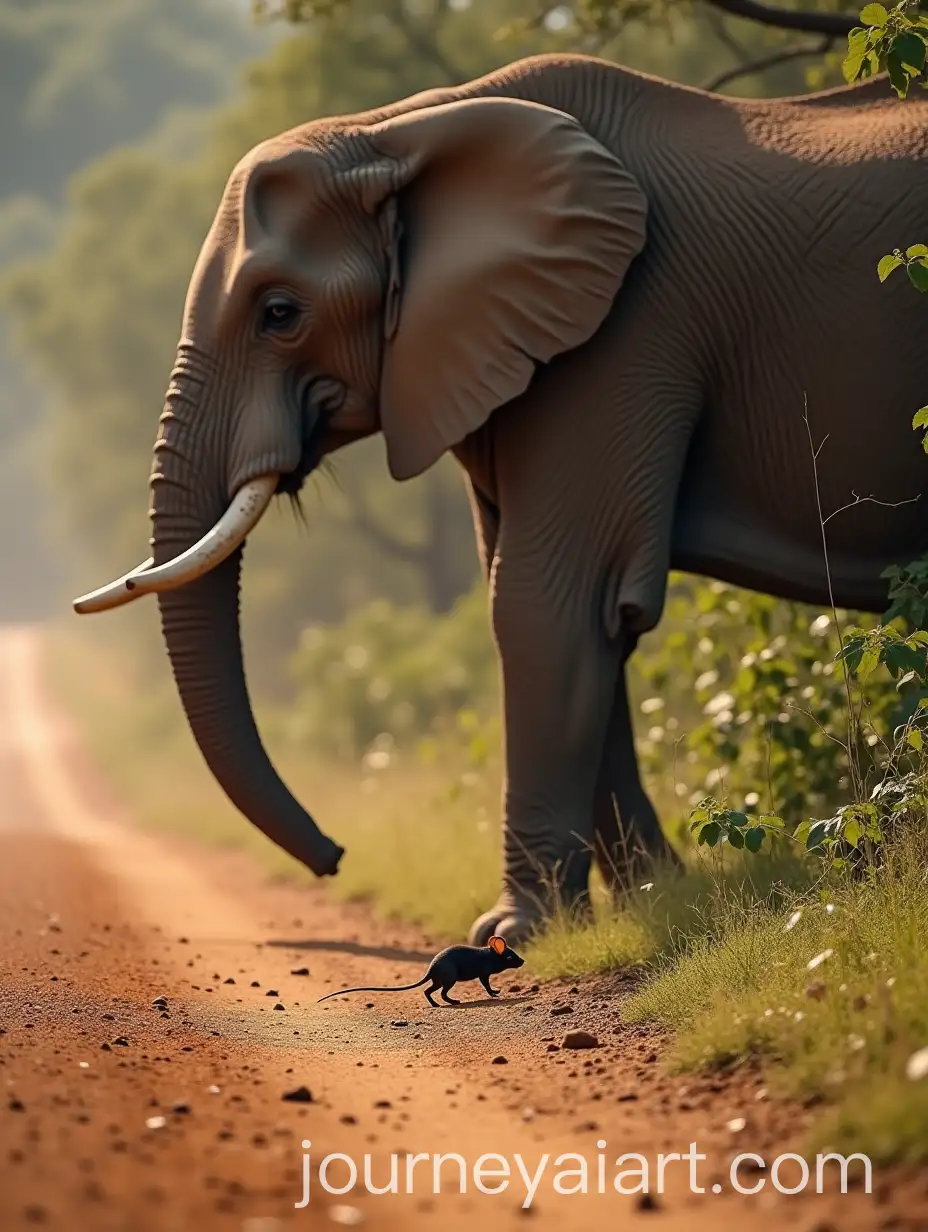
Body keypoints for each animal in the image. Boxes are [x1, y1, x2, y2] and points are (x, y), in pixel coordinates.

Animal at [74, 52, 928, 945]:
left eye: (280, 313)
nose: (335, 856)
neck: (401, 130)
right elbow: (570, 612)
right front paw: (654, 900)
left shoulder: (626, 334)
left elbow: (543, 603)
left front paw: (512, 933)